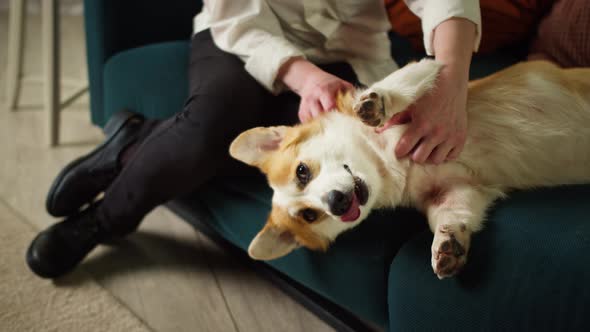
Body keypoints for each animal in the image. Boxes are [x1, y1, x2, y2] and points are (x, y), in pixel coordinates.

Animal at [230, 59, 590, 278]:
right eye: (309, 215)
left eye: (302, 171)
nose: (337, 203)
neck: (385, 164)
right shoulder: (459, 189)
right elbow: (451, 216)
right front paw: (447, 245)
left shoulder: (429, 76)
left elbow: (403, 81)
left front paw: (375, 103)